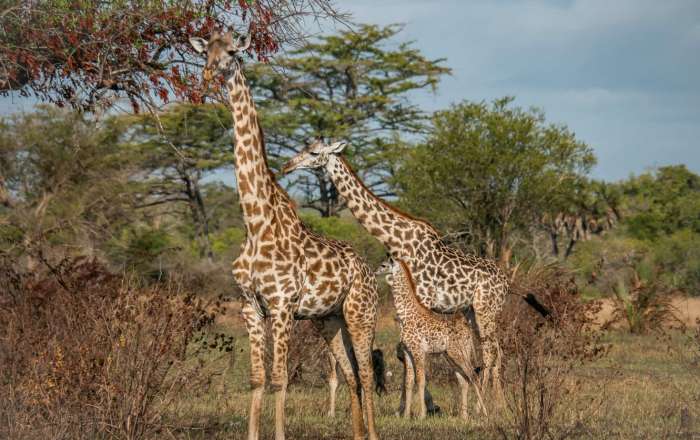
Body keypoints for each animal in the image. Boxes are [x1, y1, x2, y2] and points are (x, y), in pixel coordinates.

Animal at [189, 33, 379, 440]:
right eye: (206, 50)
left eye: (231, 51)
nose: (210, 74)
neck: (255, 223)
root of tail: (369, 269)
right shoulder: (250, 306)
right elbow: (257, 379)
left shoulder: (282, 307)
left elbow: (280, 379)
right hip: (329, 319)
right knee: (351, 374)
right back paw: (357, 433)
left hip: (361, 313)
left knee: (368, 374)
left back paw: (372, 434)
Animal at [280, 139, 517, 397]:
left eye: (313, 152)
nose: (286, 166)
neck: (396, 238)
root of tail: (507, 281)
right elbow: (403, 353)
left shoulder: (423, 298)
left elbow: (408, 352)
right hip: (472, 311)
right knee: (497, 350)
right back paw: (499, 399)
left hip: (486, 310)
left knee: (490, 351)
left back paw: (485, 397)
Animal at [376, 258, 487, 419]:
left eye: (384, 265)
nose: (375, 271)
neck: (405, 316)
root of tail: (468, 331)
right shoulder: (408, 351)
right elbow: (409, 382)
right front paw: (406, 416)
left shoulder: (418, 351)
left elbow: (421, 380)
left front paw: (422, 415)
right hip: (450, 355)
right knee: (464, 380)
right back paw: (463, 416)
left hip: (459, 353)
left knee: (474, 377)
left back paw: (484, 413)